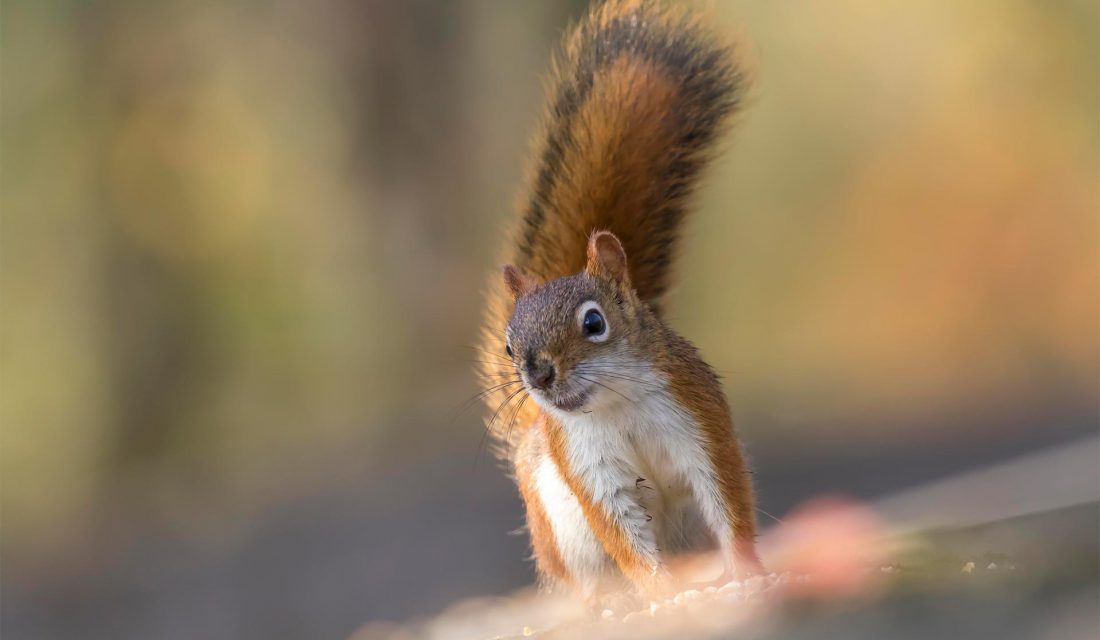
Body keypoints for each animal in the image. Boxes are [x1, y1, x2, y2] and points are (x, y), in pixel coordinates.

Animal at [477, 0, 761, 602]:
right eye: (510, 348)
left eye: (594, 323)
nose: (537, 373)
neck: (616, 403)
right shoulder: (589, 469)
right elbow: (624, 534)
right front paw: (660, 596)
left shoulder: (698, 422)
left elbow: (727, 499)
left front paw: (748, 572)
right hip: (560, 535)